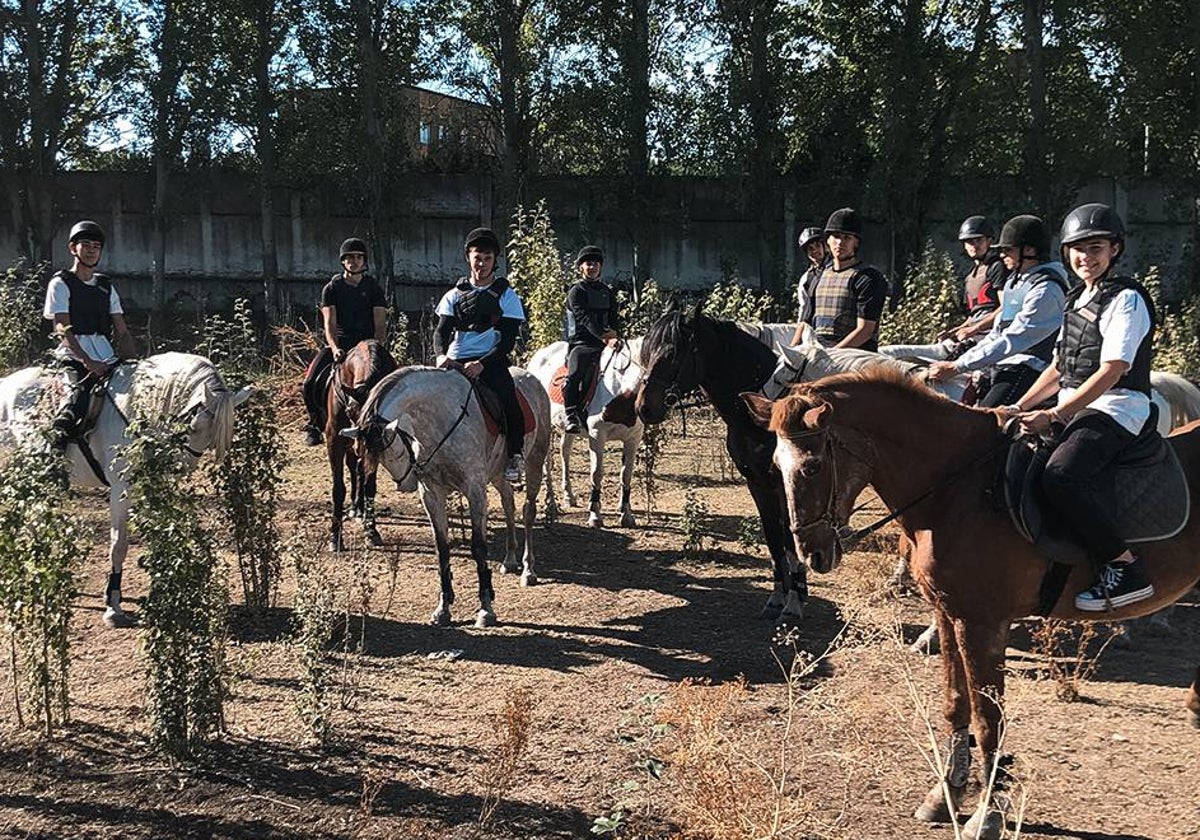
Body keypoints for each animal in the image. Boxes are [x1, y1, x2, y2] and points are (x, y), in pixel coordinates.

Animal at [0, 350, 250, 628]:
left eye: (214, 438)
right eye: (193, 426)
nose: (180, 467)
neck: (137, 409)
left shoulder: (152, 487)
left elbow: (159, 536)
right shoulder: (122, 489)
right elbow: (118, 544)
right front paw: (113, 606)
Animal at [324, 340, 398, 552]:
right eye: (350, 410)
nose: (360, 444)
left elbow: (370, 486)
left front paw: (371, 530)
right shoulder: (334, 441)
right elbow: (338, 489)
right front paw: (335, 536)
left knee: (359, 471)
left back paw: (359, 509)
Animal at [350, 364, 549, 628]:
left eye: (393, 449)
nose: (407, 483)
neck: (439, 419)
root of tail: (530, 376)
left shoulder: (475, 490)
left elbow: (479, 548)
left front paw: (486, 609)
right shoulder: (431, 494)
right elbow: (441, 549)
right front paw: (442, 609)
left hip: (536, 459)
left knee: (527, 512)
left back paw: (528, 570)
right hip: (497, 473)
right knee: (508, 503)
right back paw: (509, 560)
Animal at [528, 338, 648, 528]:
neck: (621, 386)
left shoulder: (633, 437)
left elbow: (626, 475)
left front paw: (627, 515)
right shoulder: (597, 435)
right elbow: (596, 474)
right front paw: (595, 516)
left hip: (568, 428)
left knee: (565, 452)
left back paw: (568, 496)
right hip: (545, 426)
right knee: (546, 461)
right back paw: (551, 502)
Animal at [739, 367, 1200, 840]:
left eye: (812, 466)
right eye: (775, 466)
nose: (811, 553)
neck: (959, 490)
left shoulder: (982, 622)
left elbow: (987, 717)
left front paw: (988, 813)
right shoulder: (948, 613)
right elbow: (956, 704)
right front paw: (947, 792)